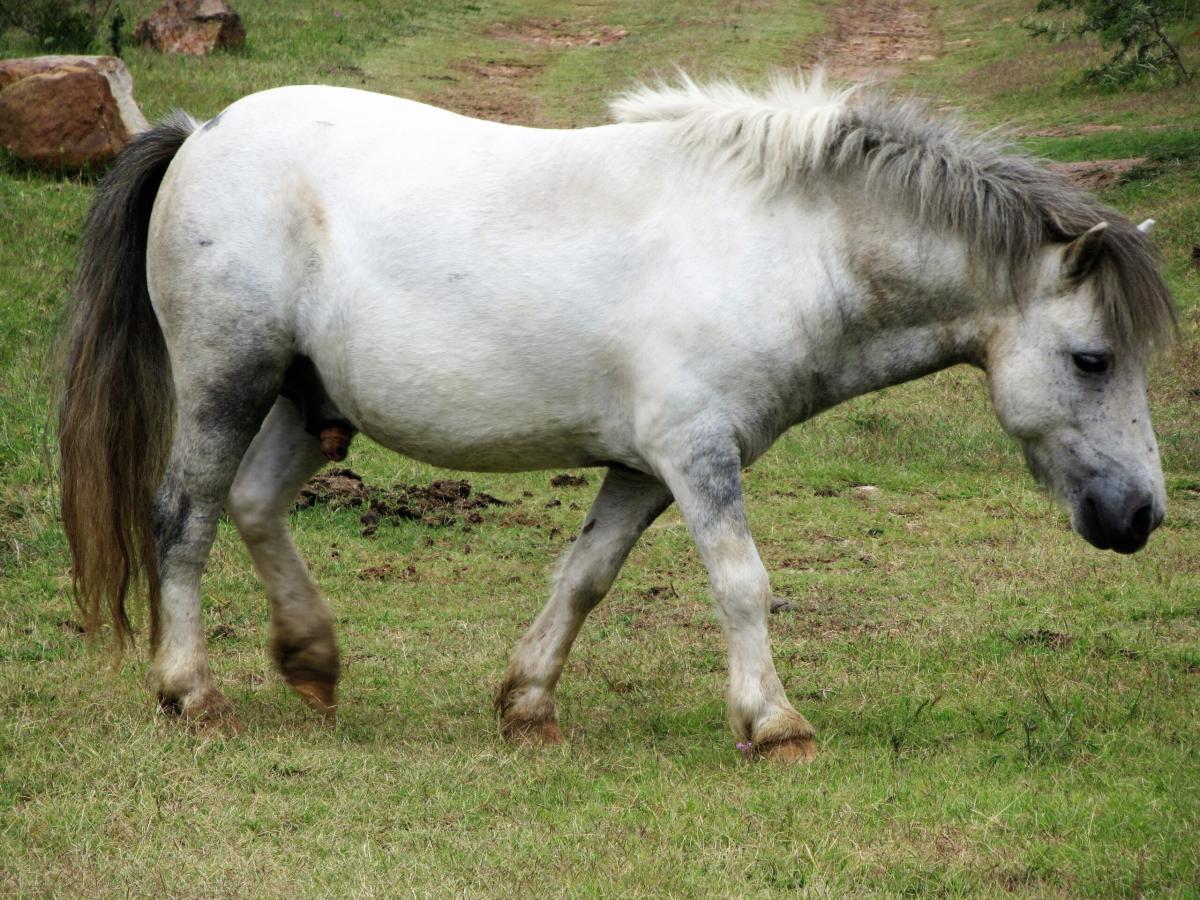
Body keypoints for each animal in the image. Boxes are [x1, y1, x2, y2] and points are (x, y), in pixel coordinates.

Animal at [58, 74, 1171, 763]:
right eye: (1092, 360)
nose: (1142, 517)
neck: (778, 245)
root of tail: (201, 134)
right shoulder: (697, 454)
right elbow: (741, 582)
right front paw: (774, 725)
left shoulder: (645, 467)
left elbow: (585, 576)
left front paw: (528, 706)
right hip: (228, 382)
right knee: (184, 520)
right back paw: (191, 692)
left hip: (307, 399)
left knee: (251, 508)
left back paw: (313, 661)